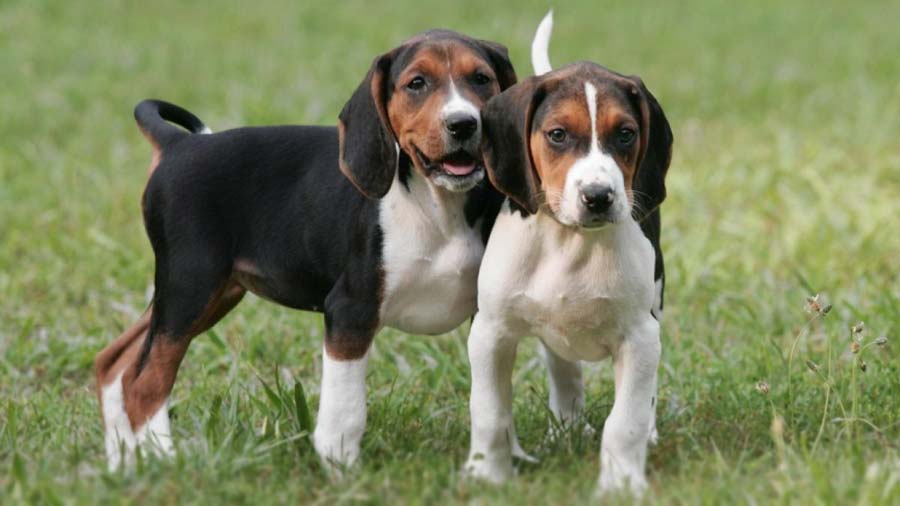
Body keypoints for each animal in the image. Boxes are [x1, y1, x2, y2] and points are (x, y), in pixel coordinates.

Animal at [92, 29, 516, 472]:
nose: (464, 123)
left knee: (113, 362)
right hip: (190, 286)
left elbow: (491, 396)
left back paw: (123, 464)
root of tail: (178, 144)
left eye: (481, 79)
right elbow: (345, 410)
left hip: (203, 294)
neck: (437, 208)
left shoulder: (487, 316)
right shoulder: (350, 312)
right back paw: (162, 460)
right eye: (417, 83)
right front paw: (342, 470)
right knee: (143, 382)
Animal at [468, 10, 672, 494]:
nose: (598, 196)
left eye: (626, 134)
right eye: (558, 135)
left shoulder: (641, 338)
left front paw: (621, 485)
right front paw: (488, 476)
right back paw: (566, 428)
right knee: (564, 370)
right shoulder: (489, 333)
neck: (569, 242)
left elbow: (626, 421)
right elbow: (489, 413)